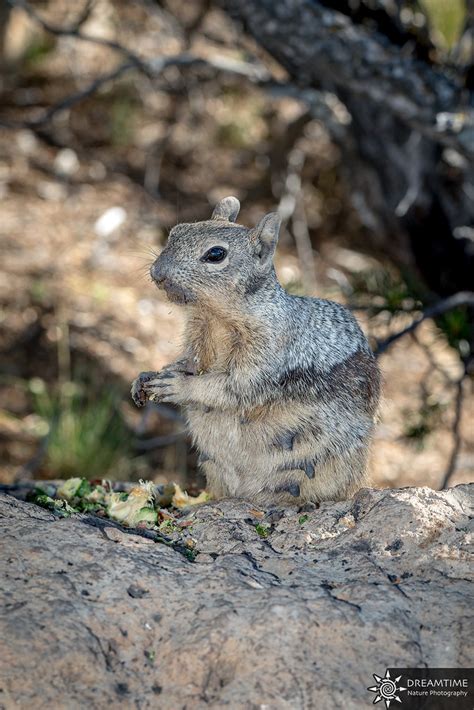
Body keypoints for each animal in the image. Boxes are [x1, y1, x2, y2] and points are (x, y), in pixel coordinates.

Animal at [131, 195, 382, 506]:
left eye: (216, 254)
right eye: (176, 231)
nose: (157, 272)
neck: (216, 317)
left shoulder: (265, 356)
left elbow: (231, 388)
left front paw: (179, 386)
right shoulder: (197, 340)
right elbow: (188, 363)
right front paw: (145, 377)